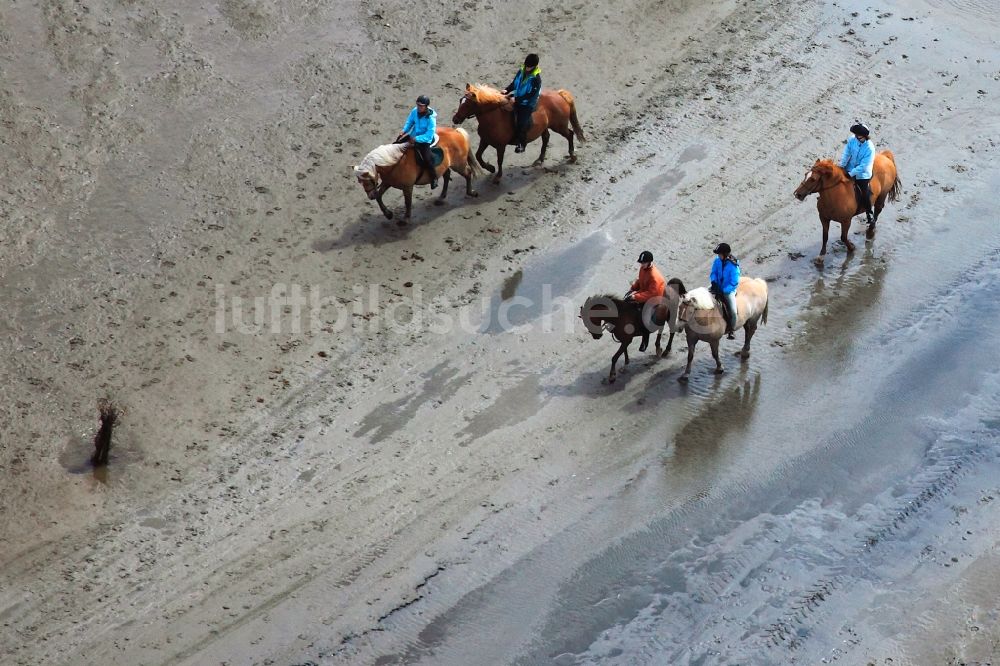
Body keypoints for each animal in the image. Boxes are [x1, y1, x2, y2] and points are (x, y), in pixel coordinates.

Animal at [354, 126, 482, 224]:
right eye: (360, 182)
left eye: (369, 180)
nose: (370, 196)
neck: (395, 161)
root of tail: (456, 131)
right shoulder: (387, 182)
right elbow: (379, 197)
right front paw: (388, 214)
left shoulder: (407, 187)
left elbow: (407, 202)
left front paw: (405, 219)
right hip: (446, 166)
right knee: (446, 176)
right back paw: (441, 198)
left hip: (458, 165)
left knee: (468, 173)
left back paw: (471, 192)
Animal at [454, 82, 584, 184]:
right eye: (460, 101)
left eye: (468, 104)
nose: (455, 119)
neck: (494, 117)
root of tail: (559, 94)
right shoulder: (485, 140)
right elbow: (478, 156)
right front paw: (490, 168)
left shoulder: (501, 146)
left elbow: (499, 160)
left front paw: (498, 176)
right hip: (545, 127)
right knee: (546, 137)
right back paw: (539, 160)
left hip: (559, 126)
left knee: (570, 134)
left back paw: (572, 156)